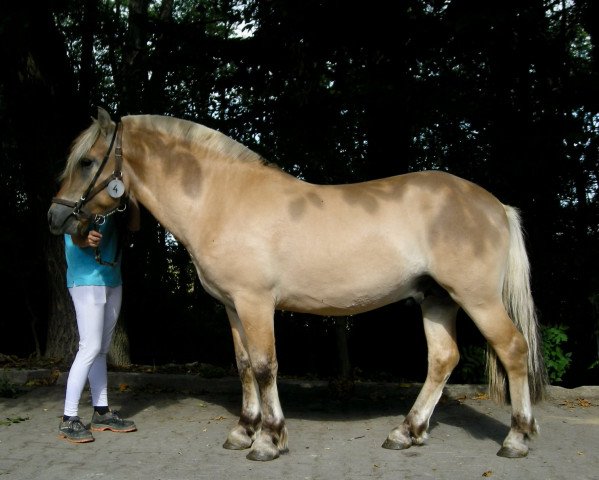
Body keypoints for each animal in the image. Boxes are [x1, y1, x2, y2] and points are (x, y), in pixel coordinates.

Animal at [48, 108, 548, 462]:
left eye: (87, 162)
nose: (56, 218)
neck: (221, 198)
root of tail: (494, 204)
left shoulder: (255, 303)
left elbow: (265, 366)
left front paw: (268, 440)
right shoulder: (232, 306)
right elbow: (244, 366)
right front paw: (243, 431)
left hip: (478, 299)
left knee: (513, 350)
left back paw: (516, 438)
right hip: (437, 299)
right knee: (443, 359)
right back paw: (406, 432)